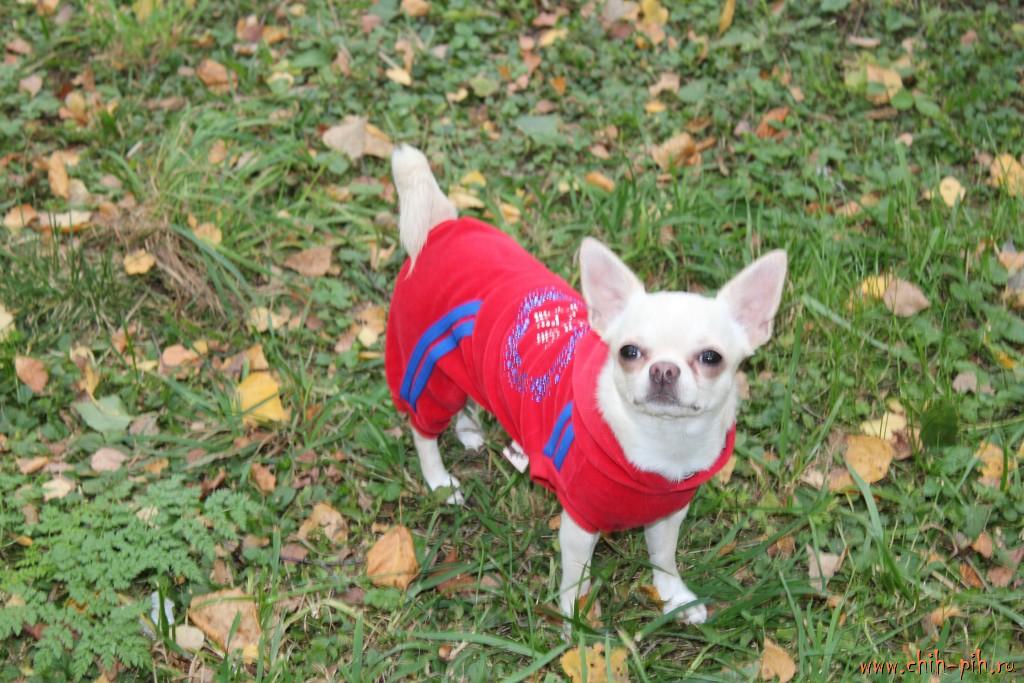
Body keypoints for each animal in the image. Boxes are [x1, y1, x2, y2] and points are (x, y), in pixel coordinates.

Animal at [385, 145, 787, 624]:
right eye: (629, 352)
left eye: (711, 358)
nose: (664, 370)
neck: (661, 450)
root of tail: (441, 226)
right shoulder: (578, 524)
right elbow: (576, 578)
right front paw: (575, 621)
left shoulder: (667, 515)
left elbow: (664, 559)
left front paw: (674, 598)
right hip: (430, 375)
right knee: (423, 430)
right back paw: (439, 480)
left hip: (460, 367)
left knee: (465, 403)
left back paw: (469, 431)